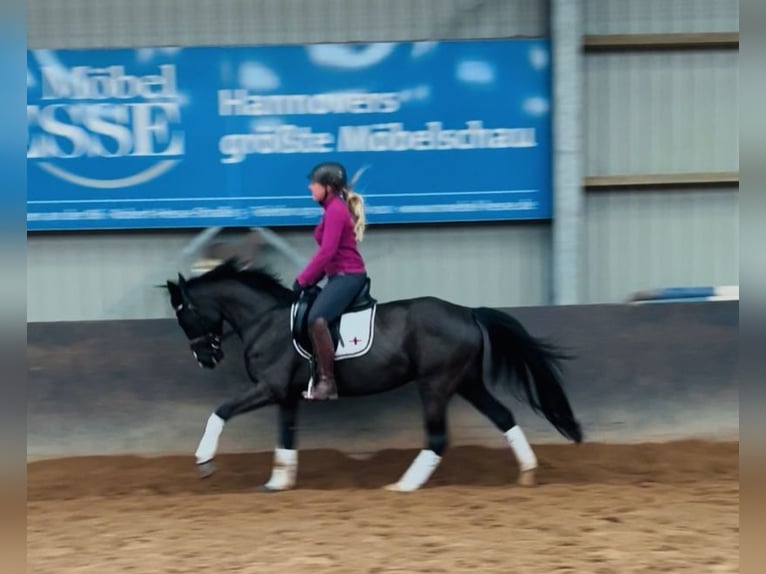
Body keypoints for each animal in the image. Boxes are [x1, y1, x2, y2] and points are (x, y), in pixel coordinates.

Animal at [166, 258, 584, 492]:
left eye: (185, 315)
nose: (206, 359)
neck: (265, 320)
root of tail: (467, 312)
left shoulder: (268, 387)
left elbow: (220, 411)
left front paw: (204, 462)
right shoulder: (285, 394)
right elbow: (286, 438)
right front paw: (277, 483)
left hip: (435, 383)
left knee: (438, 437)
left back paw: (403, 486)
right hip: (465, 381)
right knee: (503, 417)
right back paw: (527, 472)